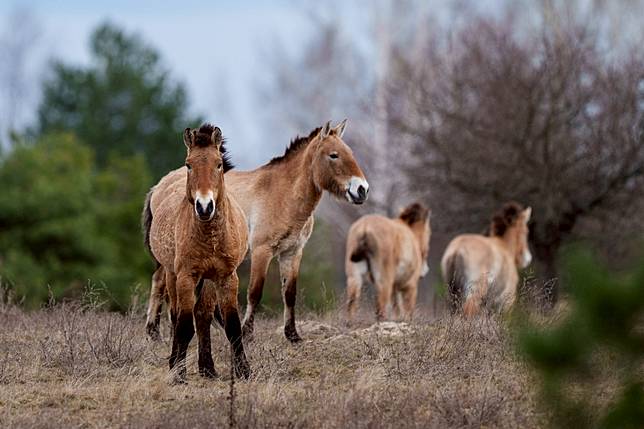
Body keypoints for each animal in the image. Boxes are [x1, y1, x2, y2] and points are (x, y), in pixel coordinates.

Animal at [143, 124, 250, 382]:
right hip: (172, 275)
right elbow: (183, 325)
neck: (210, 237)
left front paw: (243, 371)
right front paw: (178, 373)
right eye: (189, 164)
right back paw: (176, 362)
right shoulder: (186, 277)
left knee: (202, 316)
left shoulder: (226, 277)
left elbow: (232, 326)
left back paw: (207, 368)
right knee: (175, 314)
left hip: (207, 281)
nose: (204, 206)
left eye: (218, 164)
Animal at [145, 120, 369, 342]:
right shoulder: (262, 251)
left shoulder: (292, 252)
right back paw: (158, 333)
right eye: (334, 155)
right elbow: (255, 292)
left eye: (349, 152)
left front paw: (292, 335)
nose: (362, 190)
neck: (283, 194)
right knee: (161, 283)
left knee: (162, 282)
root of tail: (159, 186)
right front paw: (246, 333)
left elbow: (289, 293)